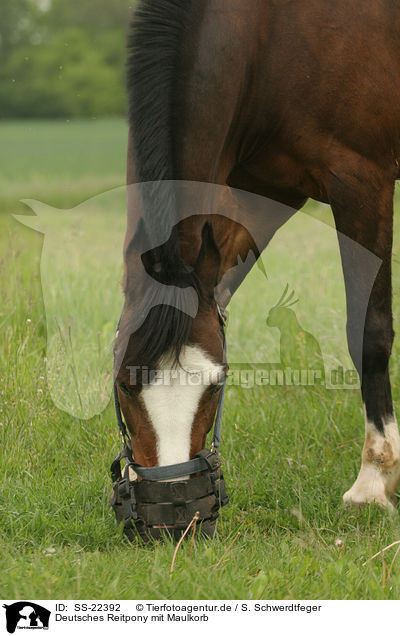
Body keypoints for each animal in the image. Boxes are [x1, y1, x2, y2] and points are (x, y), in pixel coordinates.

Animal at [111, 0, 400, 520]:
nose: (173, 514)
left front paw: (373, 481)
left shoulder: (362, 180)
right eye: (124, 384)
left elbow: (368, 330)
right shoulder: (259, 194)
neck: (270, 34)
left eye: (216, 384)